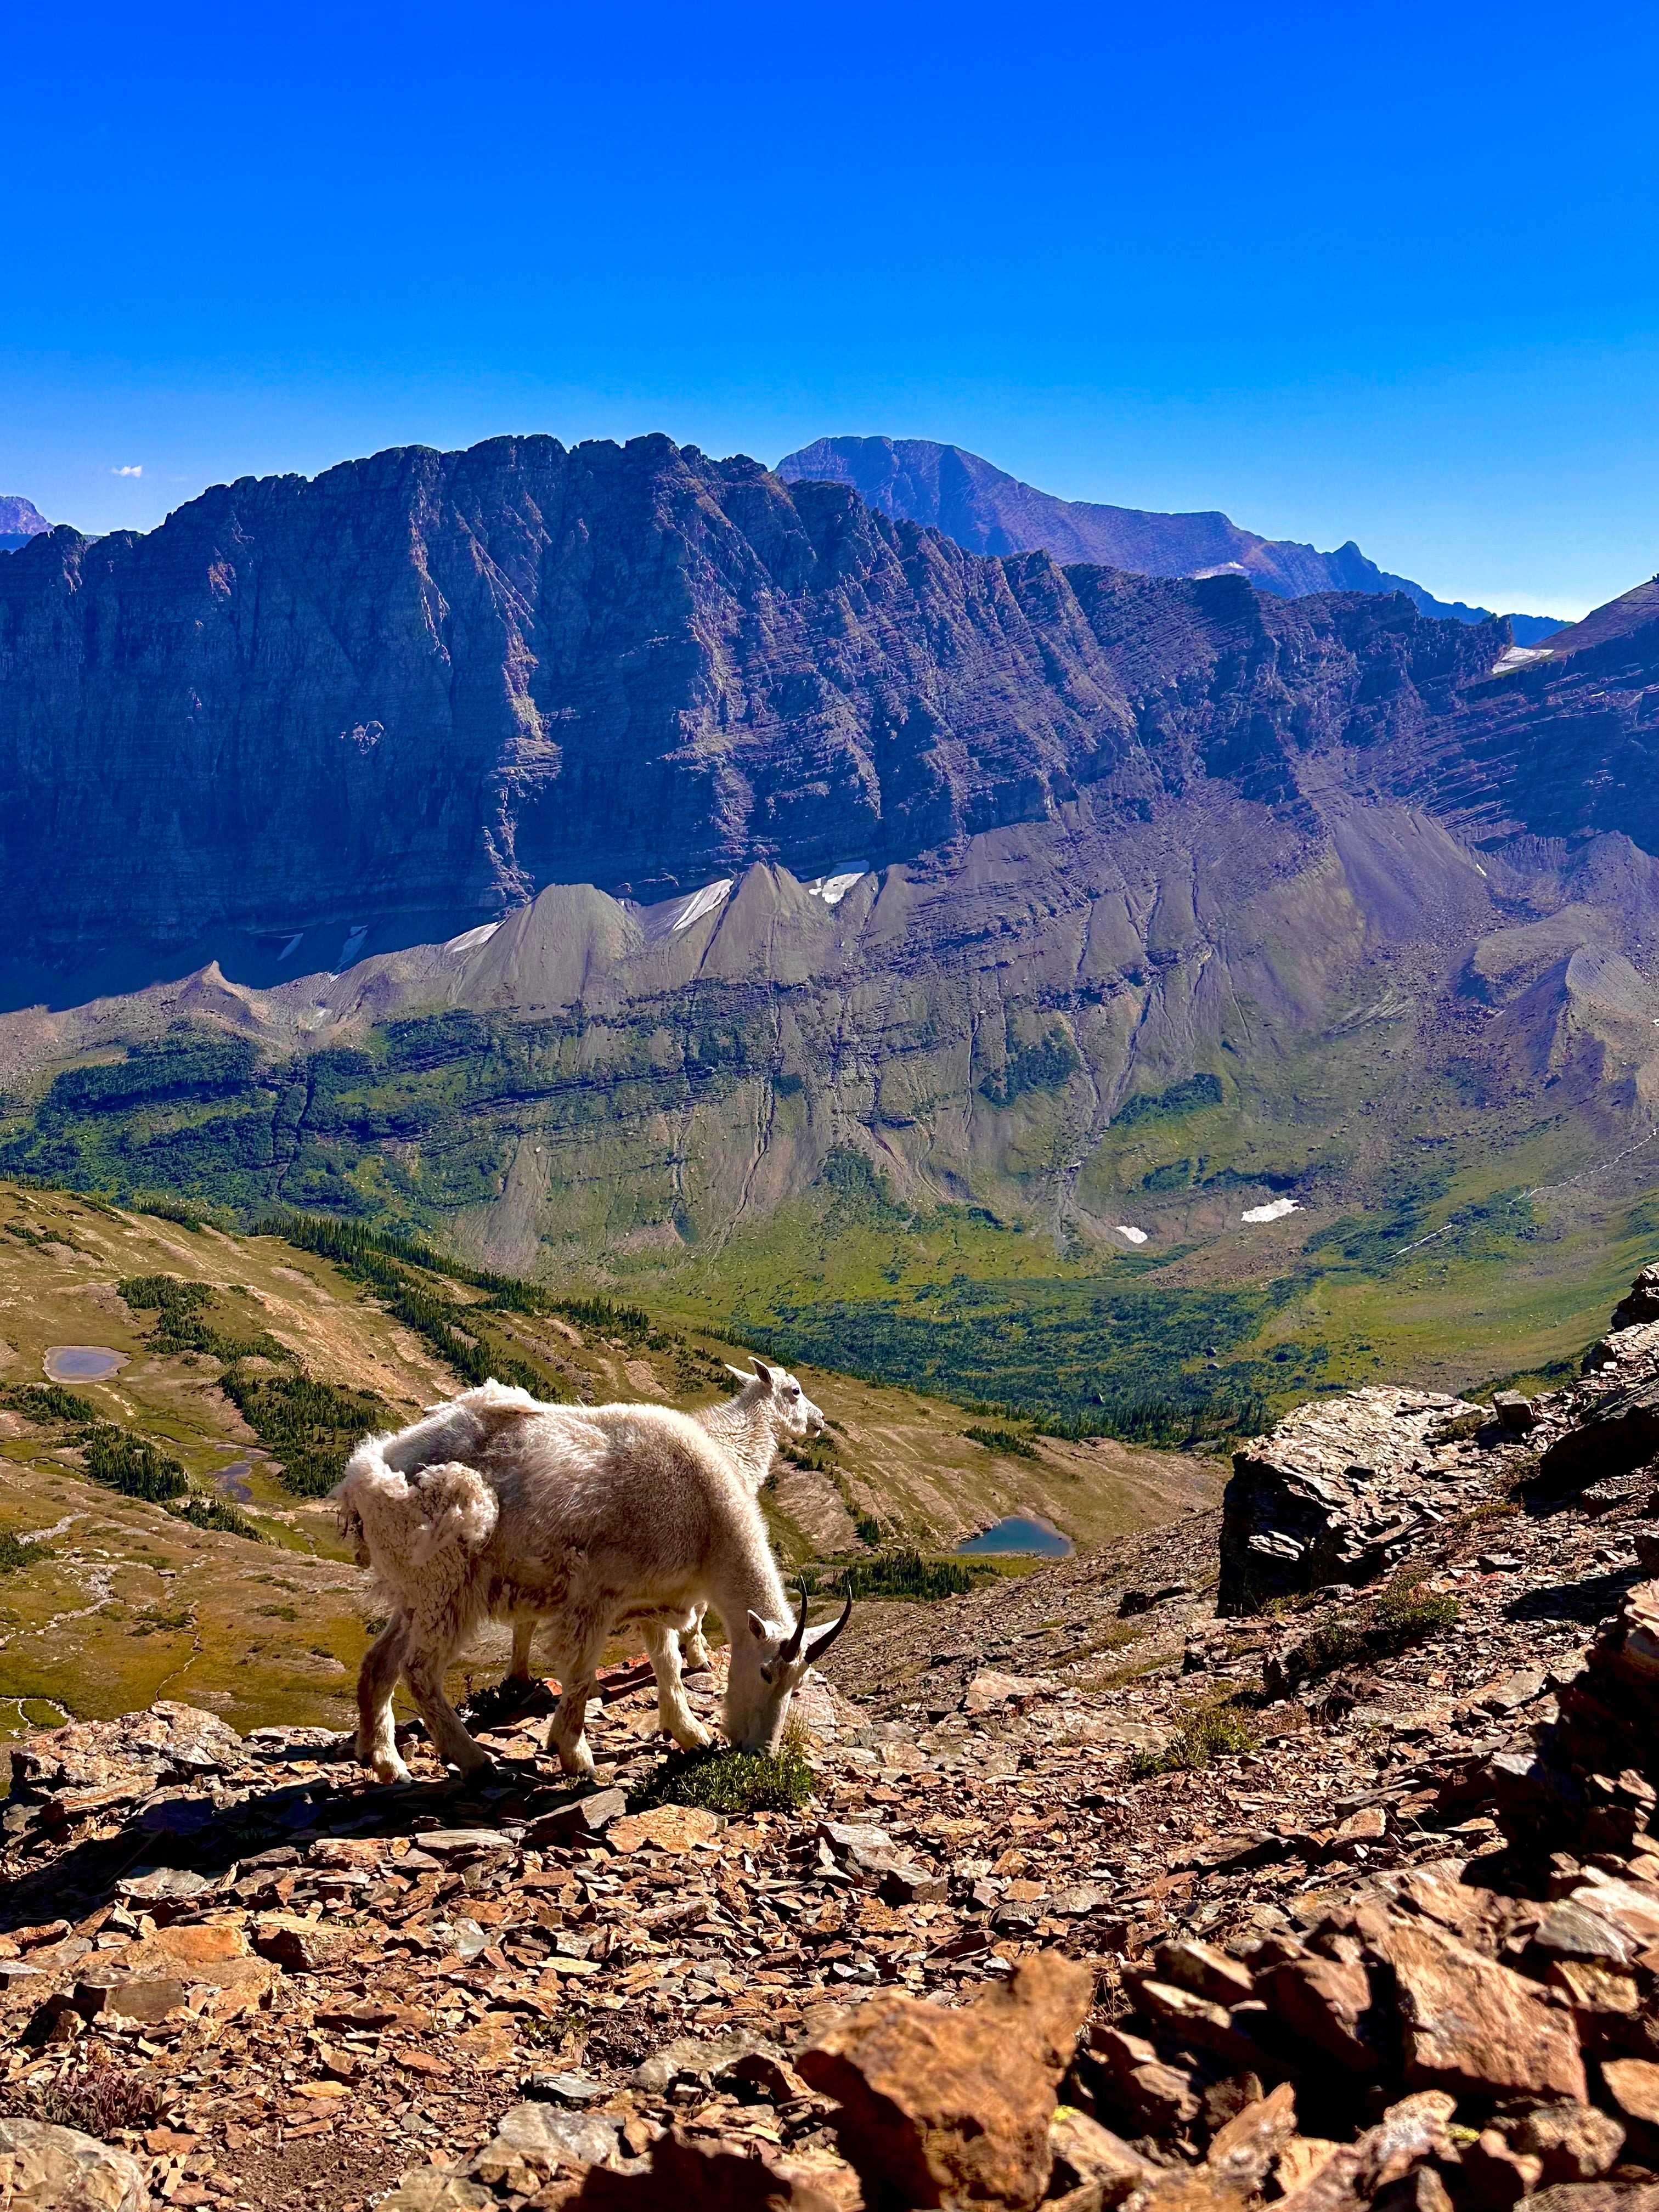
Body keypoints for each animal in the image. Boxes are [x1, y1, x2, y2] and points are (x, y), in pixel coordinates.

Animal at [335, 1382, 849, 1784]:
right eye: (765, 1672)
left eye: (798, 1685)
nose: (760, 1752)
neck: (706, 1519)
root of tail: (367, 1469)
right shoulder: (596, 1596)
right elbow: (581, 1676)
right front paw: (575, 1756)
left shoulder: (654, 1595)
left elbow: (666, 1664)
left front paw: (690, 1734)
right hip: (446, 1583)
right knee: (419, 1670)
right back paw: (474, 1760)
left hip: (416, 1591)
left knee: (380, 1662)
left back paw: (386, 1762)